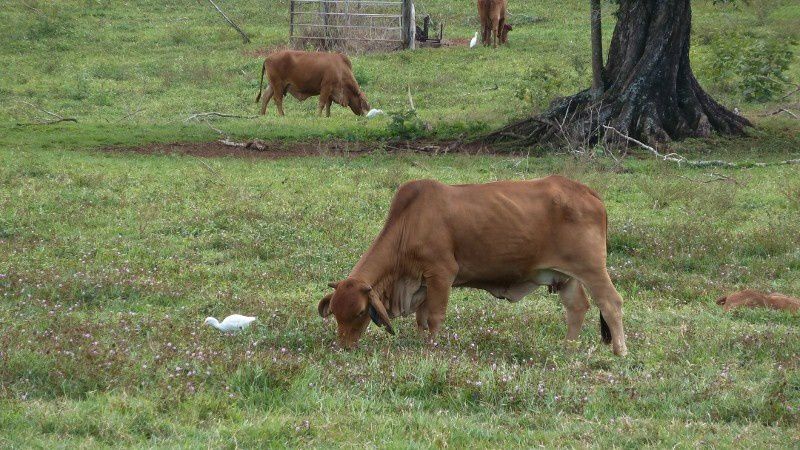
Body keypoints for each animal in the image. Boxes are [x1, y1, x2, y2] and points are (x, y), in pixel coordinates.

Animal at [316, 176, 628, 356]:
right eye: (335, 313)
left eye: (359, 313)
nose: (344, 346)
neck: (409, 222)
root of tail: (587, 191)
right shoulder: (423, 283)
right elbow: (421, 319)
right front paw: (421, 343)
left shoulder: (442, 274)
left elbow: (435, 317)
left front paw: (432, 347)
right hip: (565, 276)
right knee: (578, 308)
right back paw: (568, 348)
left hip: (592, 268)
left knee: (611, 302)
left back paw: (620, 351)